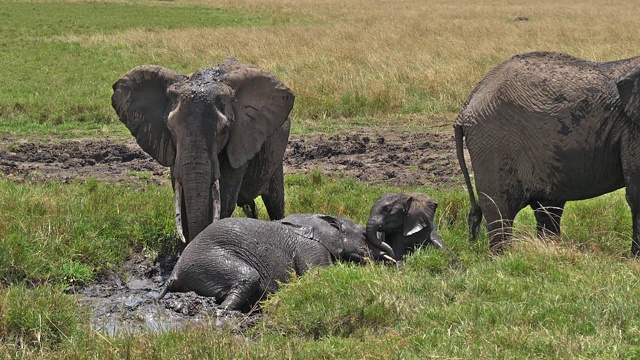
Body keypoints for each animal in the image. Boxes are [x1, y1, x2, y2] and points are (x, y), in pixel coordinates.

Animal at [112, 57, 296, 242]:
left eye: (224, 130)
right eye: (170, 129)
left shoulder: (239, 140)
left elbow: (225, 199)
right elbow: (182, 198)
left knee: (275, 201)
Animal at [156, 212, 380, 310]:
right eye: (363, 235)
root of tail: (174, 273)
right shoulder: (310, 247)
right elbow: (319, 275)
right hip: (210, 260)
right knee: (248, 277)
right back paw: (226, 311)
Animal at [456, 50, 640, 255]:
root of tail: (468, 102)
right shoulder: (632, 128)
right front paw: (635, 259)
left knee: (548, 208)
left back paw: (549, 250)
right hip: (493, 141)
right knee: (500, 209)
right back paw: (505, 257)